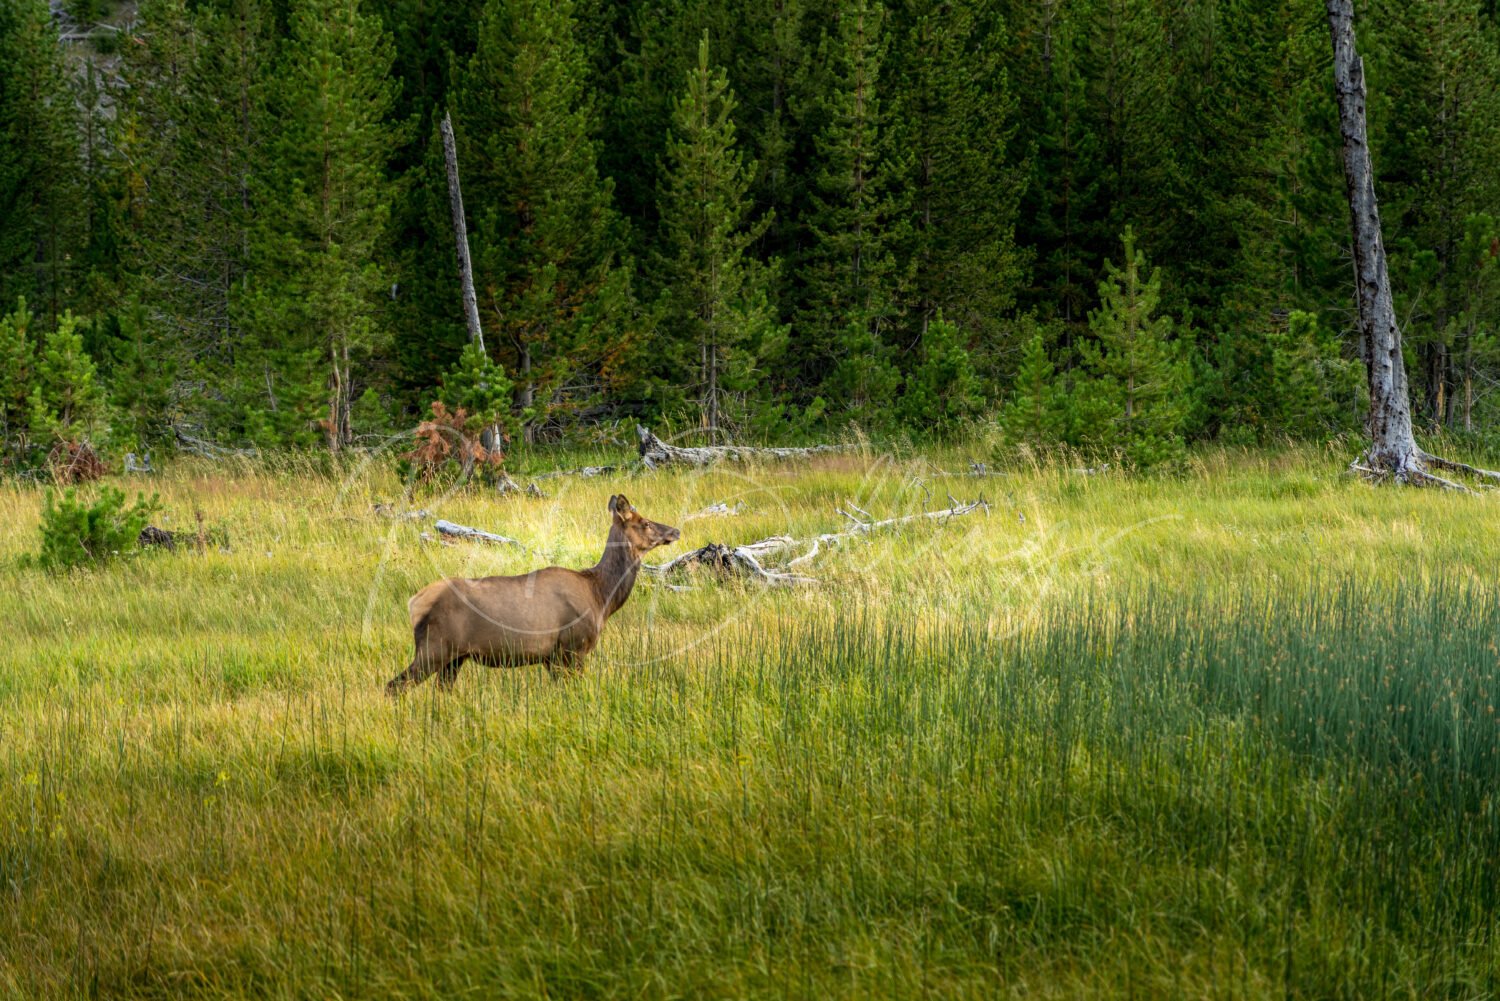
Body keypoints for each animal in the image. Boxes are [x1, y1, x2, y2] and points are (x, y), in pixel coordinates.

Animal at [386, 494, 680, 695]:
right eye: (645, 522)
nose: (675, 530)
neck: (601, 596)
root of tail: (414, 603)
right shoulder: (573, 647)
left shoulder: (552, 657)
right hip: (433, 648)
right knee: (393, 686)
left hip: (454, 658)